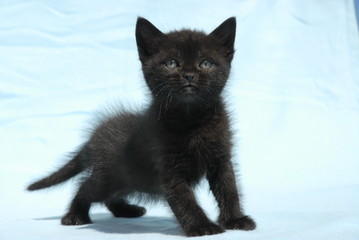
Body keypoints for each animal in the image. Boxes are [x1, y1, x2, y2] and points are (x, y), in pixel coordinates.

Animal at [27, 16, 256, 236]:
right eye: (171, 63)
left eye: (206, 63)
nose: (189, 74)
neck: (192, 119)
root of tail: (95, 137)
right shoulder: (168, 166)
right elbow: (184, 199)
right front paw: (202, 227)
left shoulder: (221, 157)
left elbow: (229, 188)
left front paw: (235, 220)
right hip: (110, 176)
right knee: (86, 187)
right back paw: (75, 215)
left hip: (127, 178)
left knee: (110, 195)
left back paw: (126, 210)